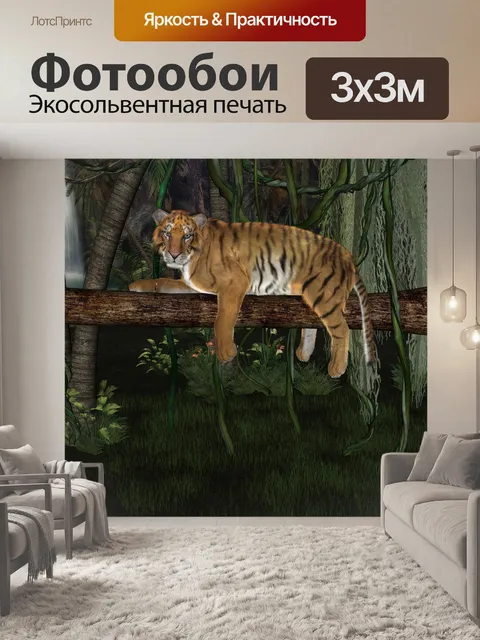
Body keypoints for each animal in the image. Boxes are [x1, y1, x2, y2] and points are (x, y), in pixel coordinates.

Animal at [129, 209, 375, 378]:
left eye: (187, 236)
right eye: (167, 233)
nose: (173, 254)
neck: (190, 260)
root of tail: (347, 255)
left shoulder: (235, 282)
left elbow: (222, 319)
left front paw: (226, 353)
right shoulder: (192, 284)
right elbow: (162, 282)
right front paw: (138, 284)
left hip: (324, 294)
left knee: (341, 328)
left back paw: (336, 368)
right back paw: (303, 354)